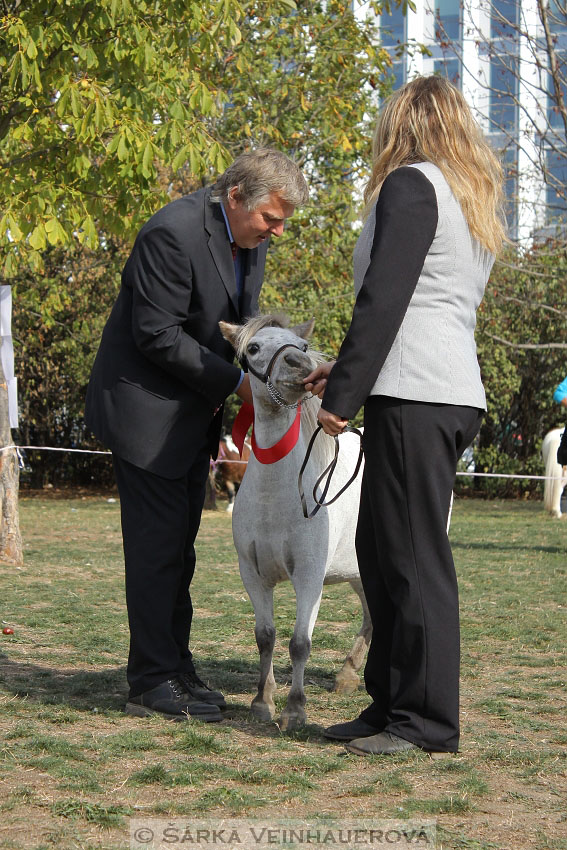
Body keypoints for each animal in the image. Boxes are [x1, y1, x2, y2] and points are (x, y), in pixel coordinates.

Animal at [220, 314, 370, 724]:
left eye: (301, 346)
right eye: (254, 348)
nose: (299, 365)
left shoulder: (308, 576)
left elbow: (300, 642)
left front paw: (295, 710)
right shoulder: (253, 574)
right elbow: (266, 636)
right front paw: (262, 702)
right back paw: (348, 675)